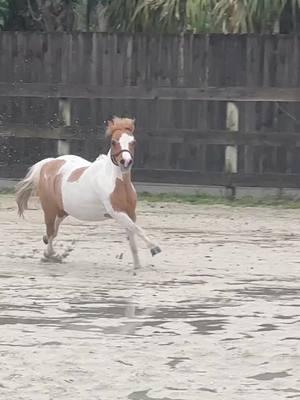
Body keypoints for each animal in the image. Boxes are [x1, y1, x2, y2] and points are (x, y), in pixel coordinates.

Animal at [15, 117, 162, 270]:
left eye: (133, 141)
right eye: (113, 141)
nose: (125, 162)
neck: (117, 182)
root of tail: (48, 163)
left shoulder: (130, 213)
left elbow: (133, 237)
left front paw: (137, 265)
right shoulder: (116, 212)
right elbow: (137, 229)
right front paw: (154, 248)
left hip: (63, 210)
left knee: (53, 231)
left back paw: (48, 252)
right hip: (50, 209)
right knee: (50, 232)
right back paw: (52, 255)